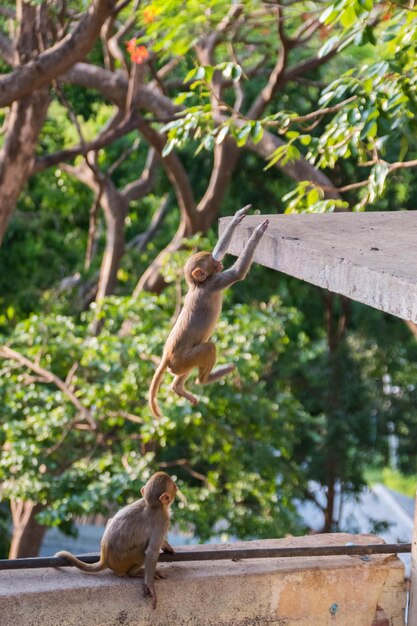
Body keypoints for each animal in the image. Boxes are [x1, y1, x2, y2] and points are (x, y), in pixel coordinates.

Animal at [56, 470, 178, 608]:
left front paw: (166, 546)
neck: (152, 505)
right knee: (143, 552)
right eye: (174, 486)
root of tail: (105, 559)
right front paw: (150, 586)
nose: (177, 487)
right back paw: (134, 573)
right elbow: (151, 551)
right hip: (125, 560)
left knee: (110, 521)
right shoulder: (163, 520)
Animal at [148, 207, 268, 416]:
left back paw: (178, 388)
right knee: (208, 347)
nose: (218, 264)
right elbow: (237, 273)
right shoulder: (215, 283)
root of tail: (166, 356)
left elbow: (220, 249)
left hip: (180, 364)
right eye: (211, 263)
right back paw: (205, 379)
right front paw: (256, 234)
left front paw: (237, 218)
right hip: (181, 360)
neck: (198, 284)